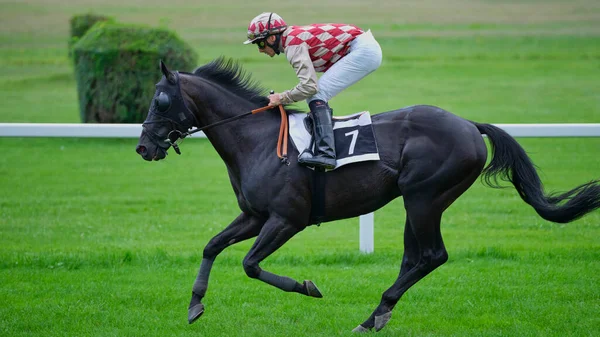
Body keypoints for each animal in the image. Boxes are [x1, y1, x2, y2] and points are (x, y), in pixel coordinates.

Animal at [135, 57, 600, 330]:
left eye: (161, 101)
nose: (143, 147)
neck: (259, 141)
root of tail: (470, 125)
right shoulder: (253, 216)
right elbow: (211, 246)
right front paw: (195, 304)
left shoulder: (287, 219)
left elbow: (250, 265)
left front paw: (307, 286)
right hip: (419, 202)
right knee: (416, 257)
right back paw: (377, 315)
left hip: (424, 196)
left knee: (432, 255)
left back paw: (375, 313)